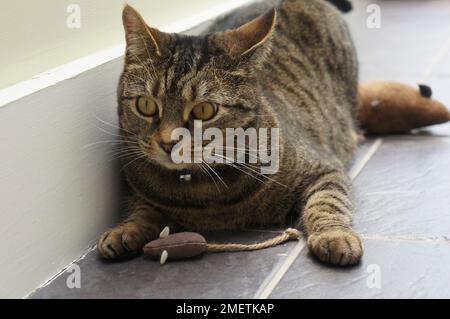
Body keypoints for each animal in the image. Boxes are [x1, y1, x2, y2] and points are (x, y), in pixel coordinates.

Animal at [97, 0, 362, 266]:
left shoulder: (324, 170)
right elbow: (141, 210)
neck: (202, 193)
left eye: (204, 110)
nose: (167, 143)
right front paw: (125, 230)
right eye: (146, 105)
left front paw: (334, 235)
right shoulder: (139, 191)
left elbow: (327, 201)